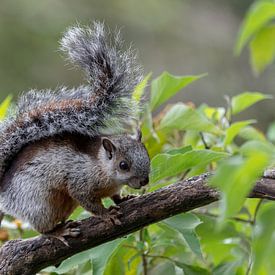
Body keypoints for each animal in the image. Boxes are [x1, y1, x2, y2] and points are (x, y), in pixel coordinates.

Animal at [0, 21, 151, 242]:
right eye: (123, 165)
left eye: (146, 154)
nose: (145, 181)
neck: (103, 168)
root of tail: (3, 192)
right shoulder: (79, 181)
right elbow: (88, 202)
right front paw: (106, 214)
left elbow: (115, 196)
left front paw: (123, 199)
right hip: (40, 205)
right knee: (42, 228)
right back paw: (59, 231)